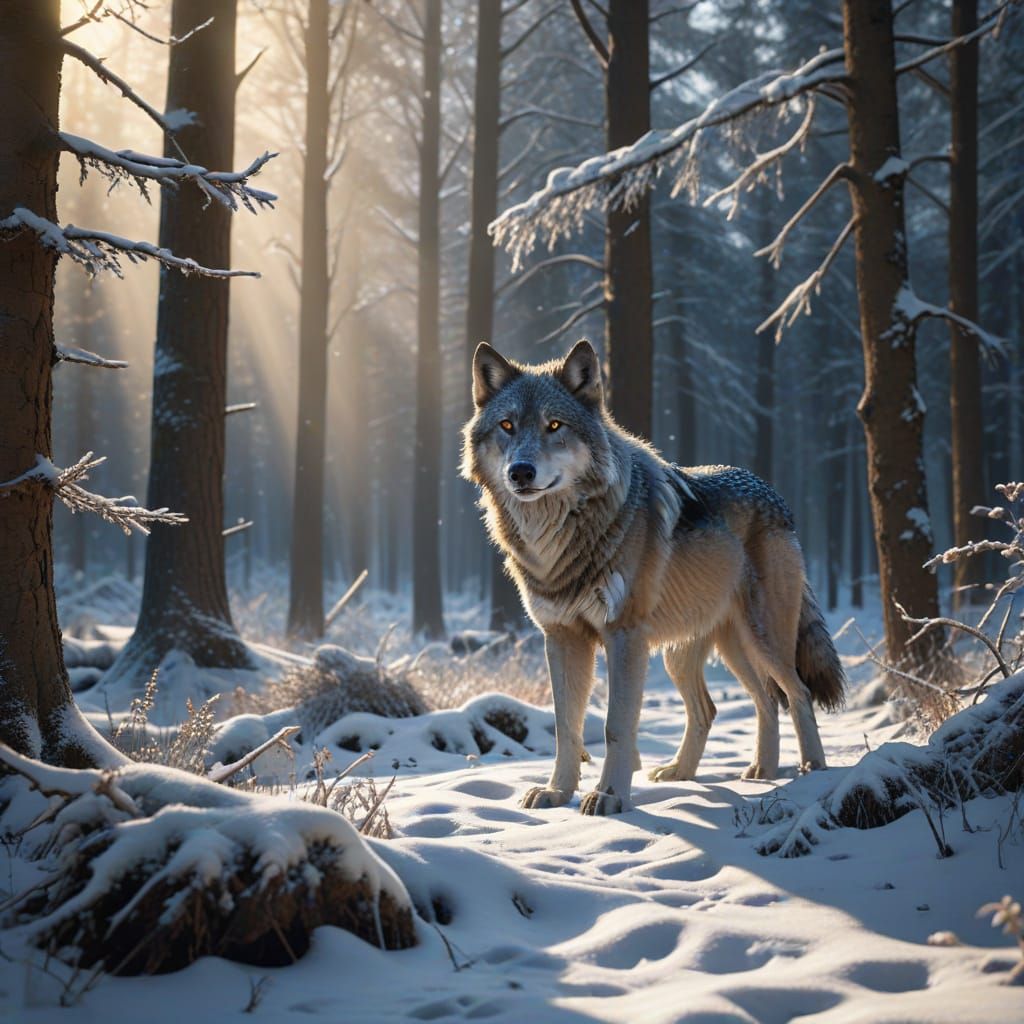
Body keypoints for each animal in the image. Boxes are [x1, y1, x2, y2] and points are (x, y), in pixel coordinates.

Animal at [461, 339, 845, 815]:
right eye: (507, 426)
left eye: (554, 425)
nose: (521, 472)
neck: (559, 537)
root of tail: (776, 495)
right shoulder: (562, 638)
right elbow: (566, 727)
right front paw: (557, 792)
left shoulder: (624, 637)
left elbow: (615, 727)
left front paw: (609, 796)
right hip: (696, 653)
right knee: (736, 705)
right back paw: (733, 772)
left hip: (763, 639)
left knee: (796, 693)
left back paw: (812, 770)